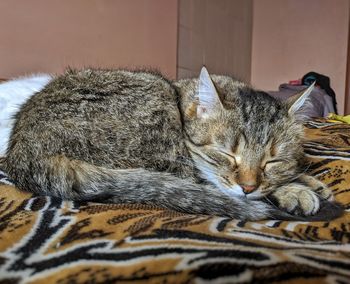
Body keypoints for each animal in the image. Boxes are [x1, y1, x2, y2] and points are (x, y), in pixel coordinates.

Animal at [1, 67, 344, 222]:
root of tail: (23, 153)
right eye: (226, 154)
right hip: (157, 116)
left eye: (271, 161)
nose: (247, 186)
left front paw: (307, 180)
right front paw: (296, 190)